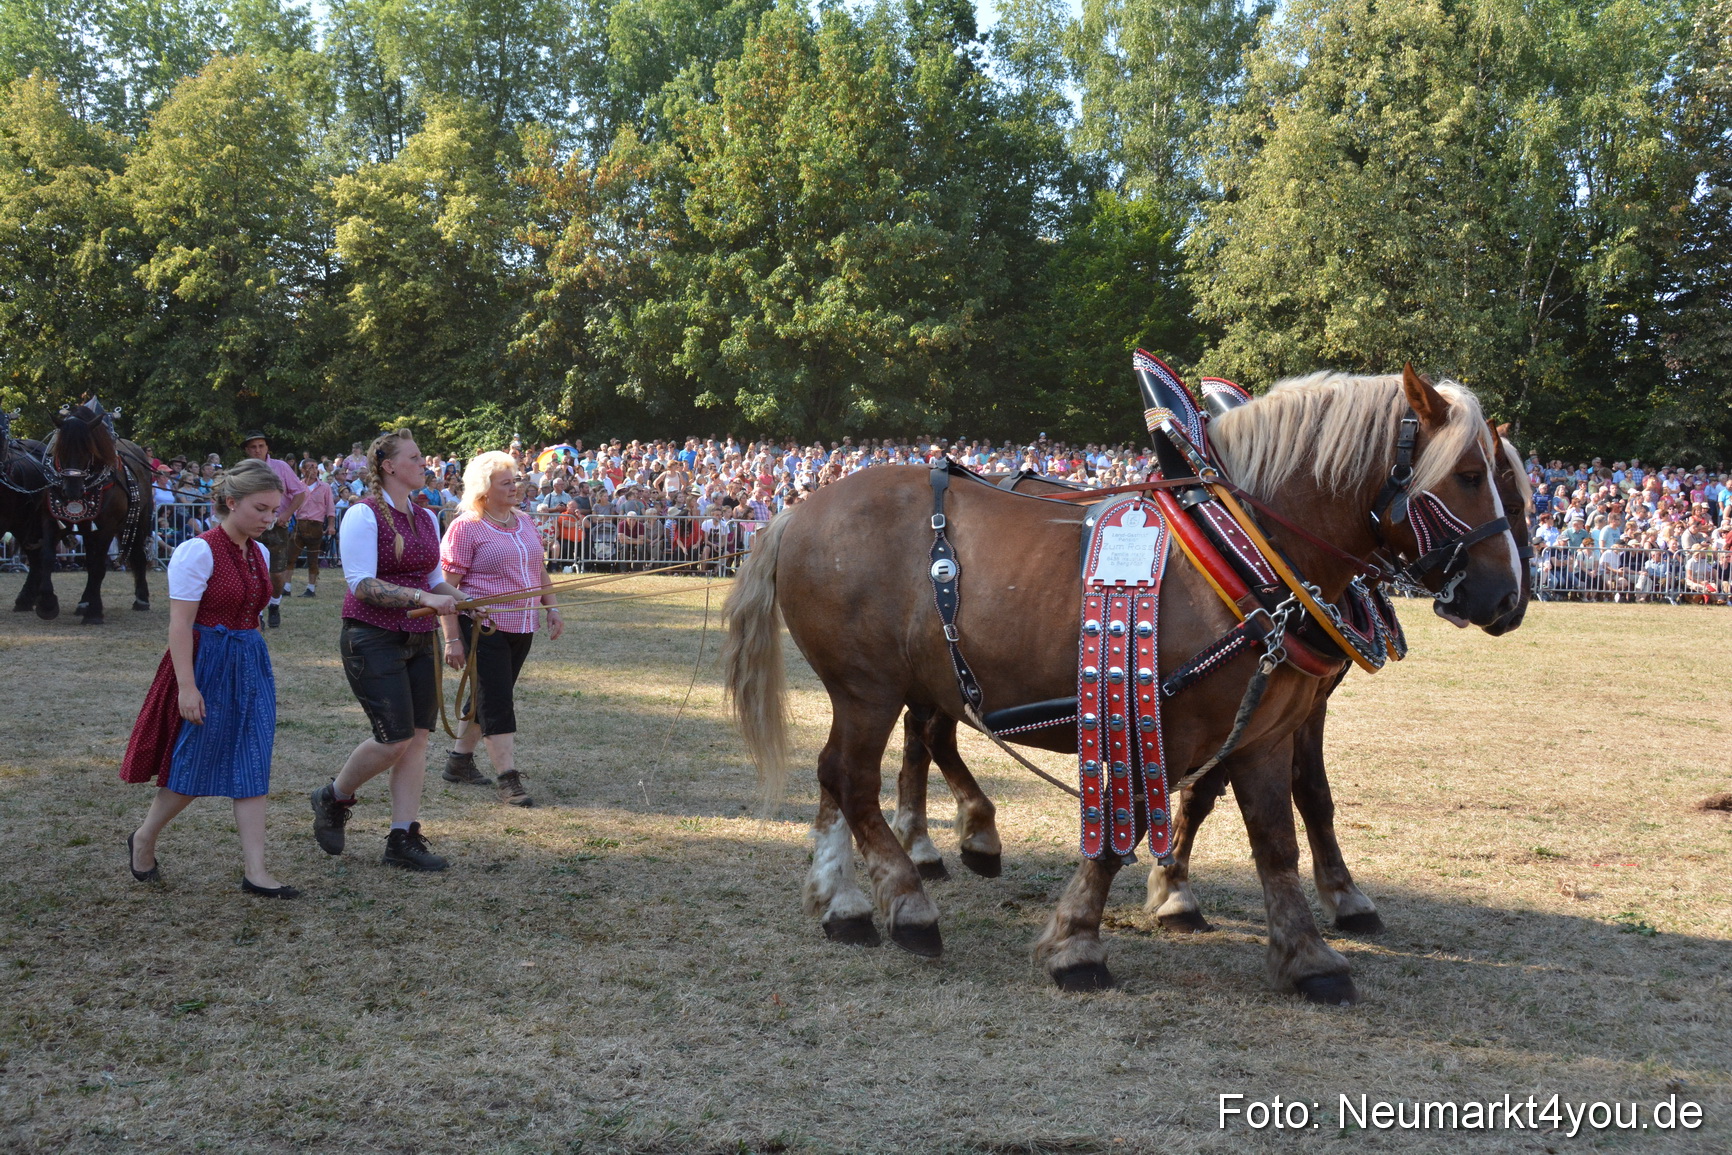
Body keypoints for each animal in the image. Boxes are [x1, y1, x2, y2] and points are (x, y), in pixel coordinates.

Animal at [33, 403, 153, 623]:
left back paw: (141, 599)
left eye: (88, 451)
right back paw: (83, 602)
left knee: (137, 554)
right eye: (60, 450)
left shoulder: (107, 527)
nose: (72, 491)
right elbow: (47, 556)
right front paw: (47, 603)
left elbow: (98, 566)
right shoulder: (51, 519)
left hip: (138, 519)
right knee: (89, 560)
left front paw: (94, 612)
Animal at [882, 426, 1534, 943]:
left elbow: (1303, 793)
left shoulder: (1296, 702)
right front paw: (1174, 891)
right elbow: (1218, 788)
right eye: (1481, 479)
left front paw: (1338, 895)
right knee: (927, 734)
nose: (1510, 602)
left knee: (929, 732)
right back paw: (943, 841)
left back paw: (941, 839)